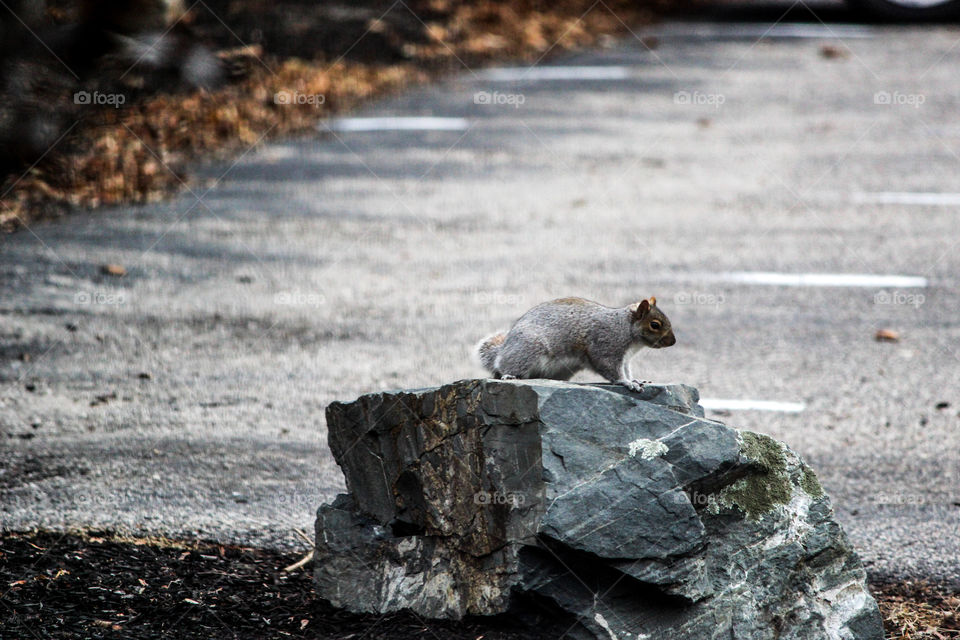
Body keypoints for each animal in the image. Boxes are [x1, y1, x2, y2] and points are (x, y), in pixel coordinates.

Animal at [474, 296, 676, 392]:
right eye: (655, 325)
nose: (673, 342)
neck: (624, 327)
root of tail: (503, 349)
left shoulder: (625, 359)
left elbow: (626, 370)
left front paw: (634, 379)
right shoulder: (605, 346)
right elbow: (611, 369)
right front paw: (627, 383)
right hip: (527, 350)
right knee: (503, 367)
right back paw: (508, 375)